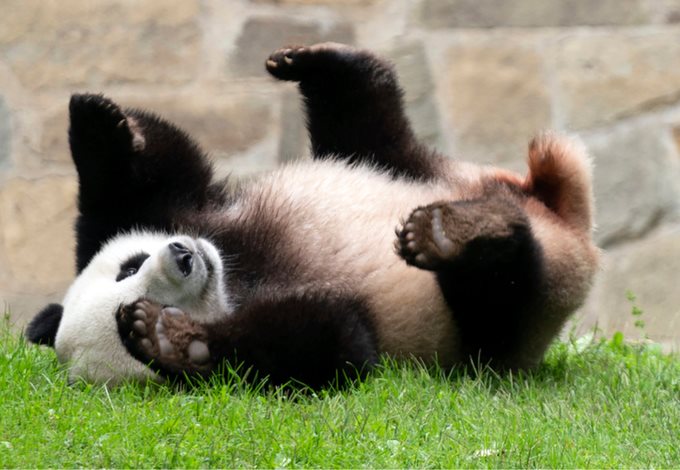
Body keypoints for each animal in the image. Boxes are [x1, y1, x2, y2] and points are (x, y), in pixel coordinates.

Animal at [25, 43, 599, 388]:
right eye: (141, 290)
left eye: (129, 266)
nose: (184, 256)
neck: (236, 274)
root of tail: (564, 220)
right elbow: (334, 345)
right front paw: (170, 339)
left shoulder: (188, 212)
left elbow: (155, 178)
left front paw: (97, 122)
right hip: (503, 325)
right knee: (501, 293)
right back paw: (458, 236)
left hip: (424, 170)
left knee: (371, 129)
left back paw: (321, 64)